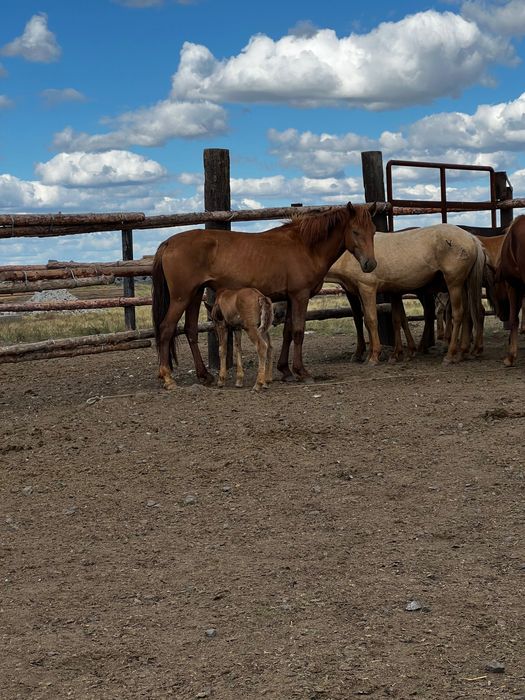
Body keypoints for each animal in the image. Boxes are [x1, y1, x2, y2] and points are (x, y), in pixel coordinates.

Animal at [152, 202, 377, 389]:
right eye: (355, 231)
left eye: (373, 231)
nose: (370, 264)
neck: (306, 246)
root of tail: (169, 242)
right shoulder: (300, 296)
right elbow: (298, 332)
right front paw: (302, 372)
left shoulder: (289, 298)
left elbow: (288, 332)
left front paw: (285, 370)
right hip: (181, 297)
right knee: (166, 329)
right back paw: (168, 378)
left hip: (195, 293)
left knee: (190, 330)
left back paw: (204, 375)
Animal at [326, 224, 486, 365]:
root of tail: (471, 238)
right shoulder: (381, 291)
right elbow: (391, 319)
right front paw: (391, 355)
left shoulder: (367, 288)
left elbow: (371, 320)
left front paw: (374, 356)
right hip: (464, 284)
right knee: (467, 314)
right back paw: (462, 352)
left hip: (454, 284)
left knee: (458, 314)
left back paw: (450, 355)